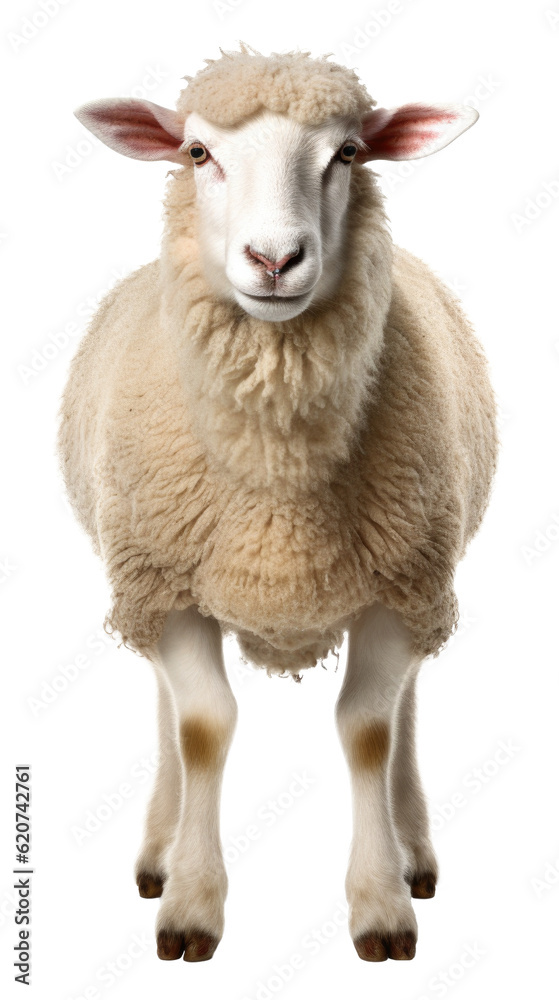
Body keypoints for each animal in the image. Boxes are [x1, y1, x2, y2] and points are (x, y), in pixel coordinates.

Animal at [58, 45, 497, 964]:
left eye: (348, 154)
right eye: (197, 154)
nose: (273, 259)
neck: (276, 481)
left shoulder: (399, 584)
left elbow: (368, 728)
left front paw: (380, 906)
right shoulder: (169, 585)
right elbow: (202, 727)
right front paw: (189, 904)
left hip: (423, 573)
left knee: (405, 705)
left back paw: (414, 848)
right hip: (142, 577)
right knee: (166, 707)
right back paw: (157, 847)